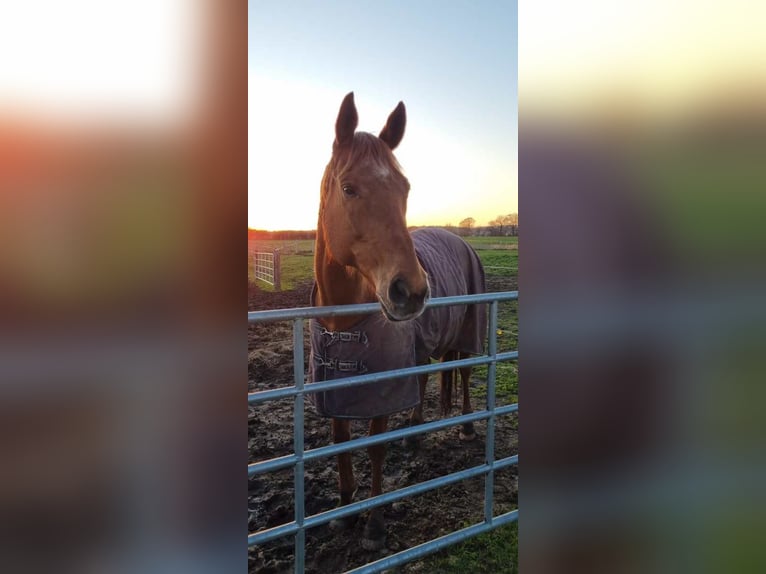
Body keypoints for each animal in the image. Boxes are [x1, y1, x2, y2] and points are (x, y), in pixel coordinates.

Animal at [310, 92, 486, 552]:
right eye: (349, 188)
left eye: (405, 189)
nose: (413, 291)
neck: (345, 321)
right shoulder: (334, 387)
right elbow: (339, 442)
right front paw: (344, 510)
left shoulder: (383, 388)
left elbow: (375, 448)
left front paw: (373, 525)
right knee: (426, 377)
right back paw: (414, 432)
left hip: (467, 332)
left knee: (463, 372)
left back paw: (465, 426)